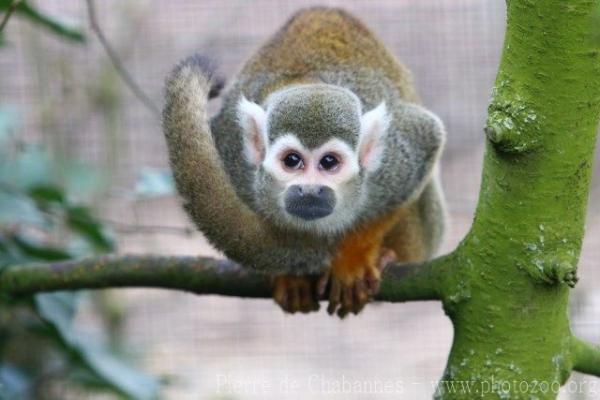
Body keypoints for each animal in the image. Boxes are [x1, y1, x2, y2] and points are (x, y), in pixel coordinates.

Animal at [162, 7, 448, 318]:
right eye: (292, 160)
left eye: (329, 162)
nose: (310, 190)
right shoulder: (231, 151)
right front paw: (291, 277)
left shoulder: (396, 162)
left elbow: (427, 139)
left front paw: (353, 259)